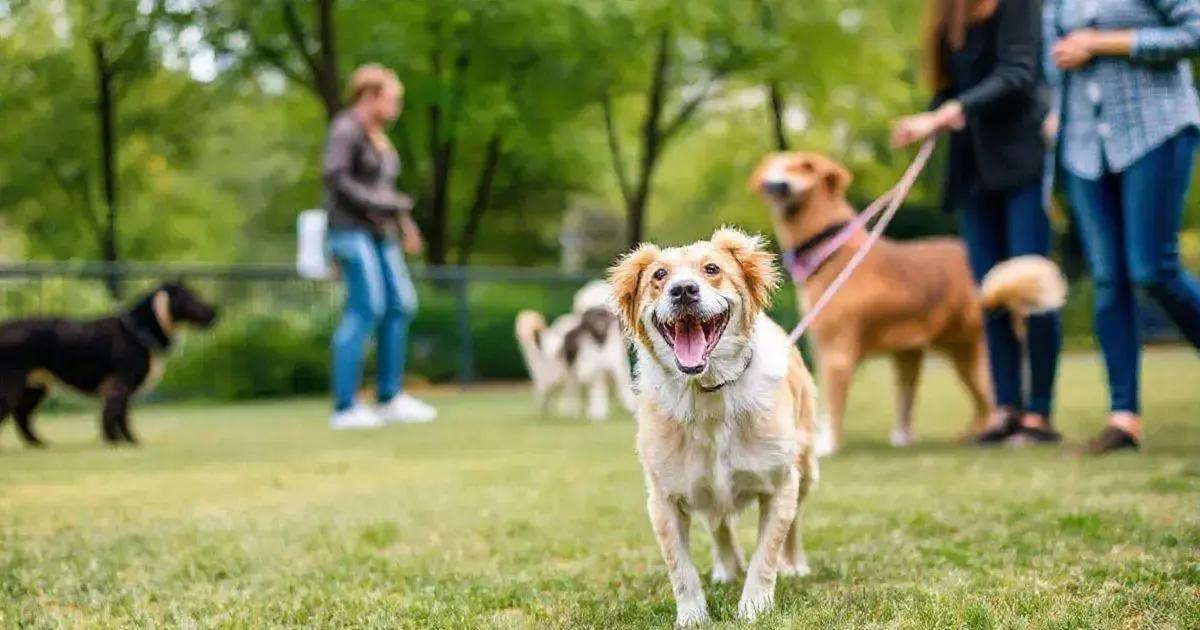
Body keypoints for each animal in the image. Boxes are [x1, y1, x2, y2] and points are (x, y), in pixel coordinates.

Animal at [0, 282, 218, 444]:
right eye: (192, 297)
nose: (214, 313)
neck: (136, 331)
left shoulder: (124, 390)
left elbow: (120, 416)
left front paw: (126, 441)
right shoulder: (119, 385)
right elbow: (114, 415)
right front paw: (118, 442)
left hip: (34, 388)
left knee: (22, 417)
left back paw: (39, 443)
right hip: (13, 387)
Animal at [609, 225, 816, 624]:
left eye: (712, 269)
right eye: (659, 275)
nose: (683, 290)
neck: (707, 391)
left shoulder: (780, 484)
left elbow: (766, 555)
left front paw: (754, 608)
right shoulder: (664, 498)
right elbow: (681, 570)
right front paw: (692, 616)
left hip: (807, 467)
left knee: (795, 522)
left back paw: (795, 564)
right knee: (718, 522)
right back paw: (725, 568)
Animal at [753, 150, 1065, 448]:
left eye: (805, 166)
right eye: (775, 166)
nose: (775, 183)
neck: (833, 249)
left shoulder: (837, 353)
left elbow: (830, 407)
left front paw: (825, 446)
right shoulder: (883, 352)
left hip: (978, 356)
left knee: (994, 401)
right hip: (961, 353)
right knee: (983, 406)